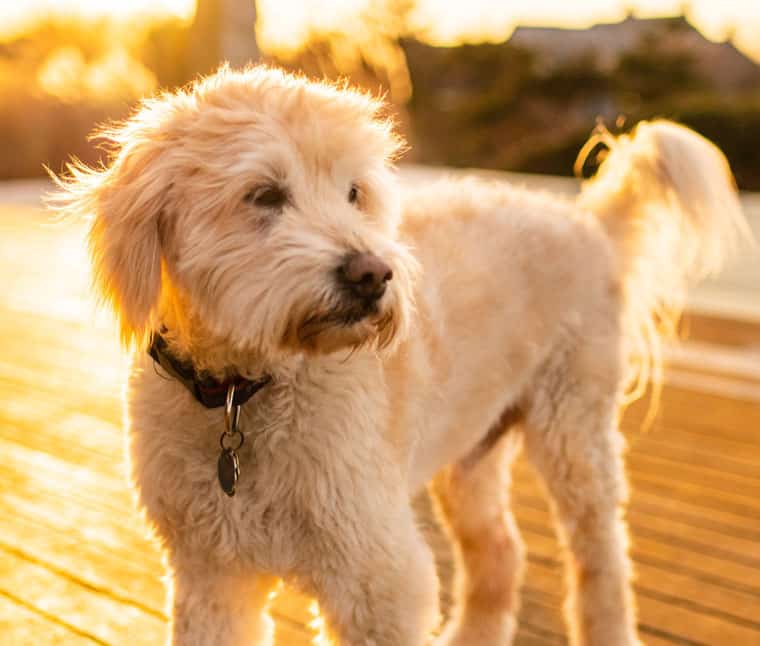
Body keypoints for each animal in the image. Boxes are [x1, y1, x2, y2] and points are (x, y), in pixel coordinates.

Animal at [52, 67, 748, 646]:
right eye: (264, 195)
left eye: (354, 192)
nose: (373, 273)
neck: (241, 393)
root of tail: (587, 221)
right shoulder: (210, 575)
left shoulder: (376, 574)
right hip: (471, 455)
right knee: (501, 553)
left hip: (574, 431)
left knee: (602, 561)